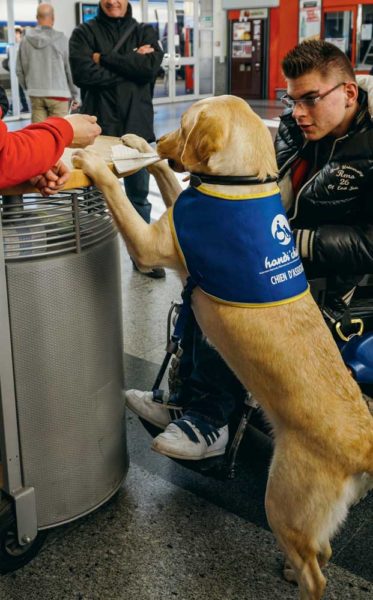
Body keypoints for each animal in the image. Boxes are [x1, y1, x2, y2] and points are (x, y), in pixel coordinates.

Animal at [73, 96, 372, 596]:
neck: (240, 182)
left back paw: (300, 581)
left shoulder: (151, 243)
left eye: (183, 125)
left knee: (317, 573)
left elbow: (120, 195)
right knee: (323, 550)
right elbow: (167, 176)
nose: (159, 137)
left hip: (284, 503)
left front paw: (98, 162)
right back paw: (289, 568)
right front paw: (135, 144)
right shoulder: (176, 216)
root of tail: (364, 442)